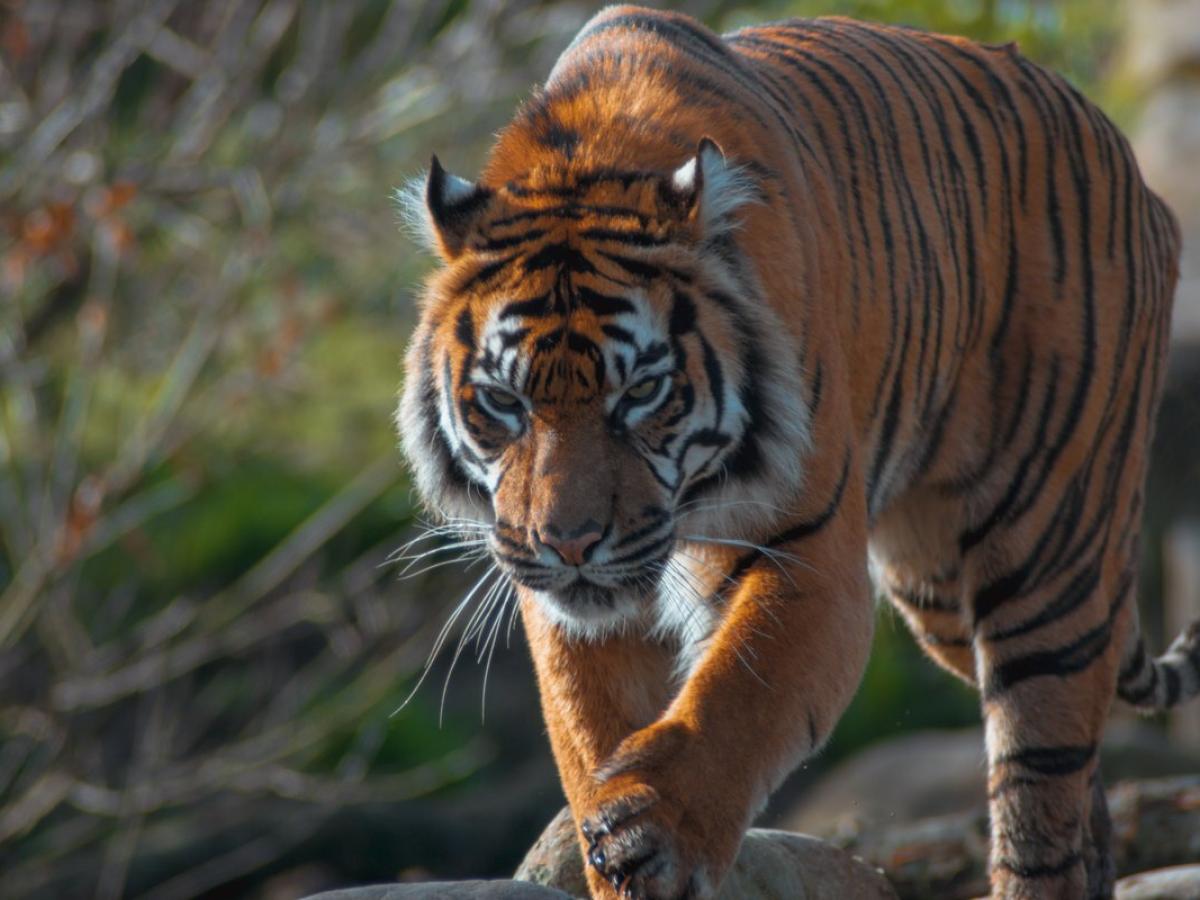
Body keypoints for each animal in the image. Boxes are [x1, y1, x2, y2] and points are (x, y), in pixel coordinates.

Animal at [396, 6, 1192, 899]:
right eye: (504, 402)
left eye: (640, 392)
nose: (568, 544)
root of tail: (1123, 153)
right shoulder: (566, 602)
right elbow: (587, 727)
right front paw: (609, 837)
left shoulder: (808, 553)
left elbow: (739, 696)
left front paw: (651, 831)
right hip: (939, 592)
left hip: (1045, 554)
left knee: (1040, 784)